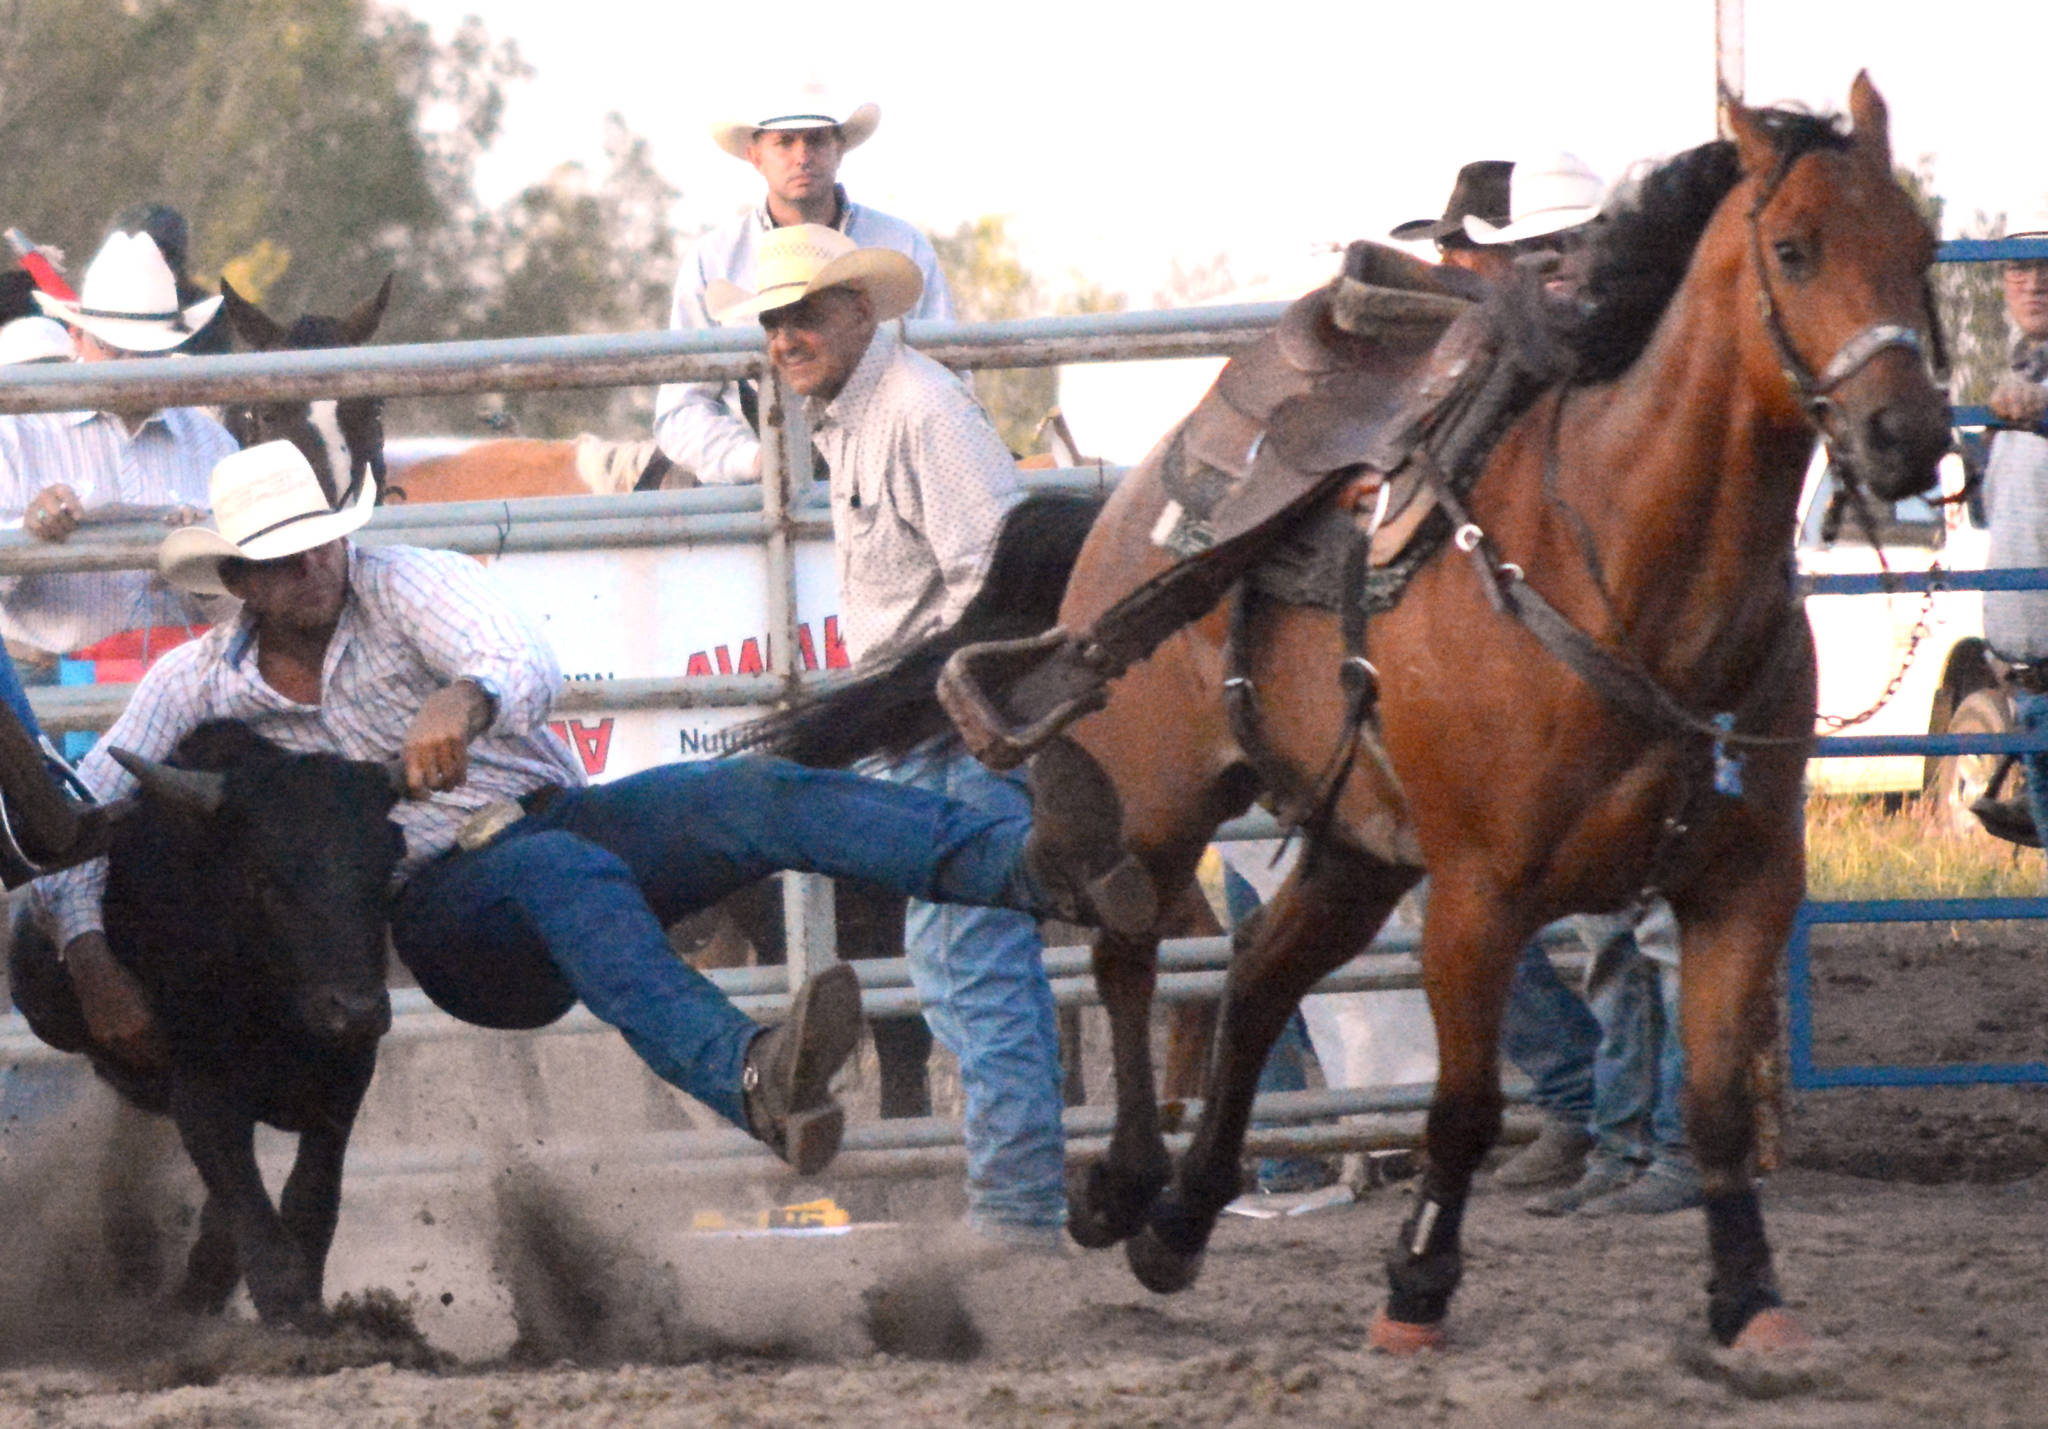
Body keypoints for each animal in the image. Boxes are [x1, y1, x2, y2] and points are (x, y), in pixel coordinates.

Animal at [761, 77, 1941, 1343]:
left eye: (1918, 248)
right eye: (1792, 247)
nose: (1906, 436)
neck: (1624, 568)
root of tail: (1121, 496)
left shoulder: (1744, 881)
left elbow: (1714, 1100)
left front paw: (1748, 1296)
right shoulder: (1478, 894)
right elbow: (1462, 1106)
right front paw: (1415, 1286)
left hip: (1356, 848)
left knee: (1252, 979)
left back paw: (1179, 1222)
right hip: (1153, 803)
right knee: (1131, 958)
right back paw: (1123, 1182)